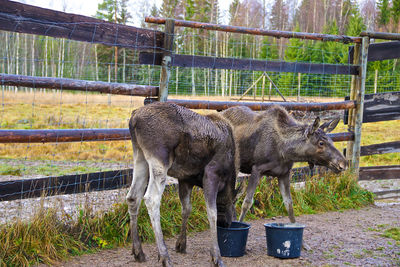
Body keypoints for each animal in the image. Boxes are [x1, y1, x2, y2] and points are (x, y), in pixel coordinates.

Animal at [127, 103, 241, 267]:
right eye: (233, 204)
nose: (227, 223)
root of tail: (134, 118)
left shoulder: (185, 179)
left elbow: (186, 209)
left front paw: (181, 244)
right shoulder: (211, 174)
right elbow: (211, 213)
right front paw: (216, 256)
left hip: (139, 156)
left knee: (133, 197)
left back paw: (138, 252)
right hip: (160, 159)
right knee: (151, 199)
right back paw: (164, 256)